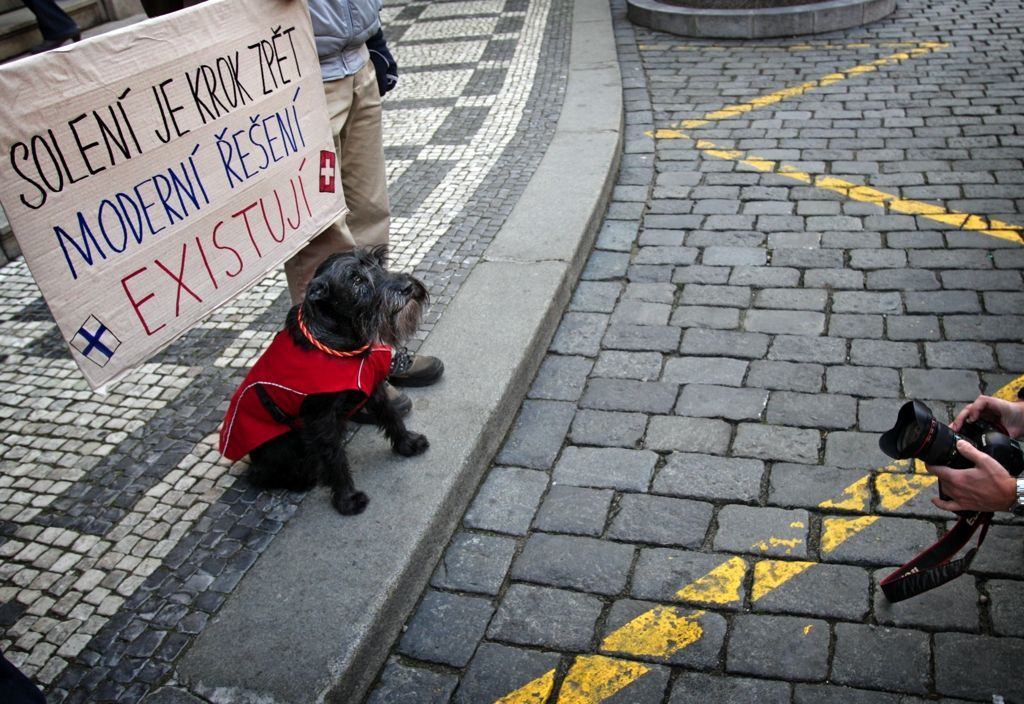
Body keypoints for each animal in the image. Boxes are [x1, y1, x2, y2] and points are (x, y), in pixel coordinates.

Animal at [222, 247, 430, 511]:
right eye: (356, 280)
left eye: (379, 262)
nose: (406, 286)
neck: (340, 343)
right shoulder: (320, 418)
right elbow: (334, 457)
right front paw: (347, 498)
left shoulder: (373, 388)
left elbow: (391, 416)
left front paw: (407, 444)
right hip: (285, 444)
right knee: (261, 475)